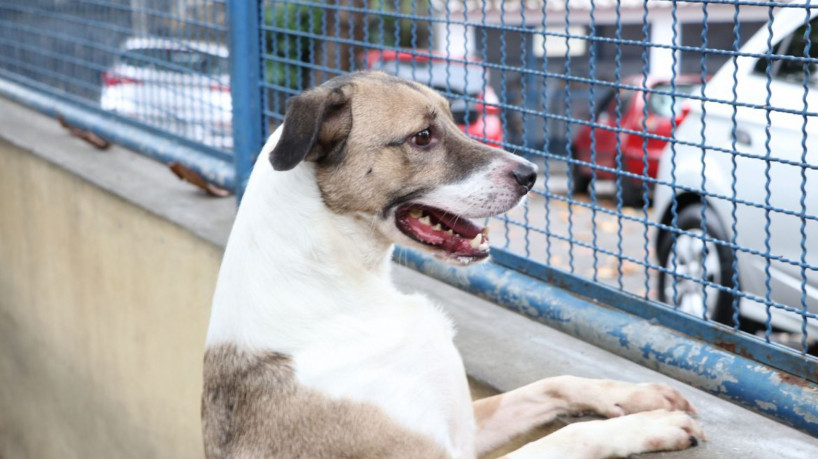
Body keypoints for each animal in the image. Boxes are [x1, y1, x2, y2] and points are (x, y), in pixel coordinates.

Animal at [202, 71, 704, 458]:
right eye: (423, 136)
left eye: (454, 118)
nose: (531, 176)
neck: (345, 288)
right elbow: (569, 436)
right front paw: (648, 427)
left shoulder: (467, 426)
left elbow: (551, 383)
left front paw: (635, 397)